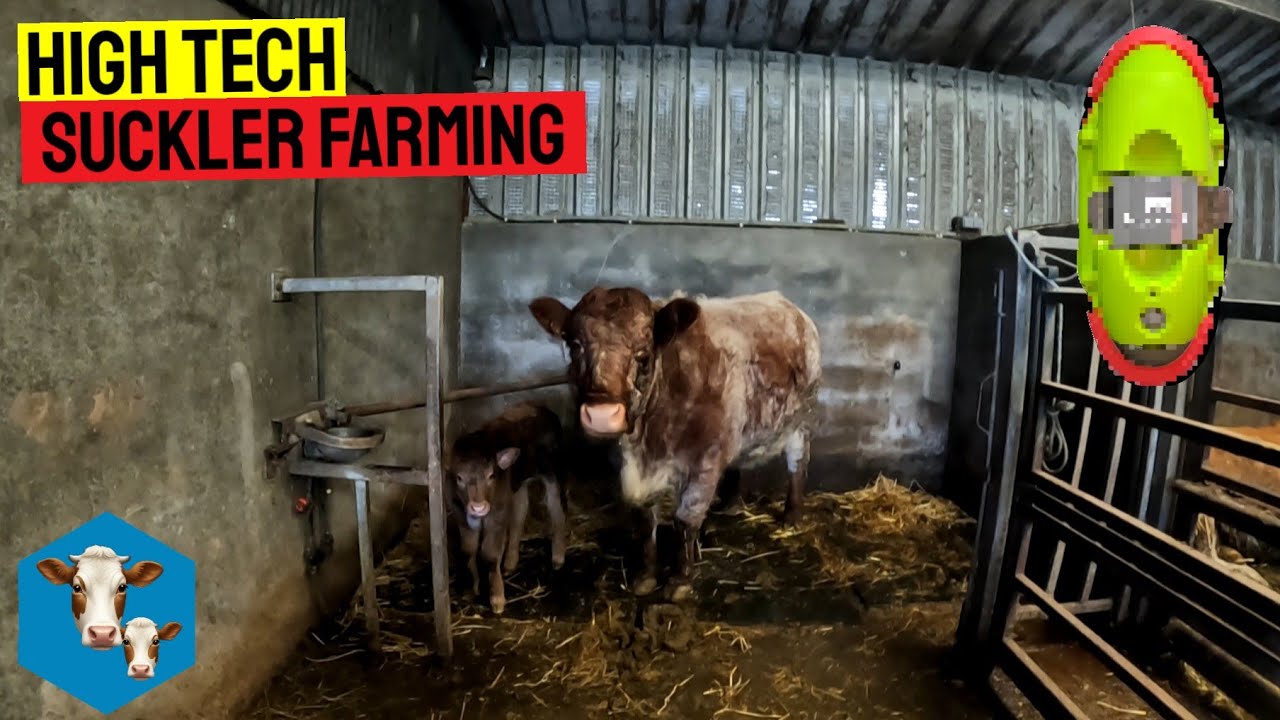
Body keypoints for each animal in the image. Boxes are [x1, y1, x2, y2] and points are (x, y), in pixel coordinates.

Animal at [448, 402, 569, 615]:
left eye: (491, 475)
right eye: (459, 477)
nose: (478, 507)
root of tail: (541, 408)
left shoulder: (497, 514)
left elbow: (489, 554)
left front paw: (497, 598)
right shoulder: (460, 514)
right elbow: (468, 550)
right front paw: (472, 588)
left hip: (552, 471)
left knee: (557, 509)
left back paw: (558, 557)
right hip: (517, 483)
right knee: (520, 513)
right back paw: (511, 561)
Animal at [529, 287, 821, 601]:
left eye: (643, 353)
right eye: (574, 346)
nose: (602, 415)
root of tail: (784, 302)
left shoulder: (705, 461)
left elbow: (685, 520)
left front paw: (680, 579)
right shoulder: (629, 468)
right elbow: (645, 521)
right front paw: (645, 576)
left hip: (802, 420)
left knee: (797, 463)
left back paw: (791, 516)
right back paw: (730, 505)